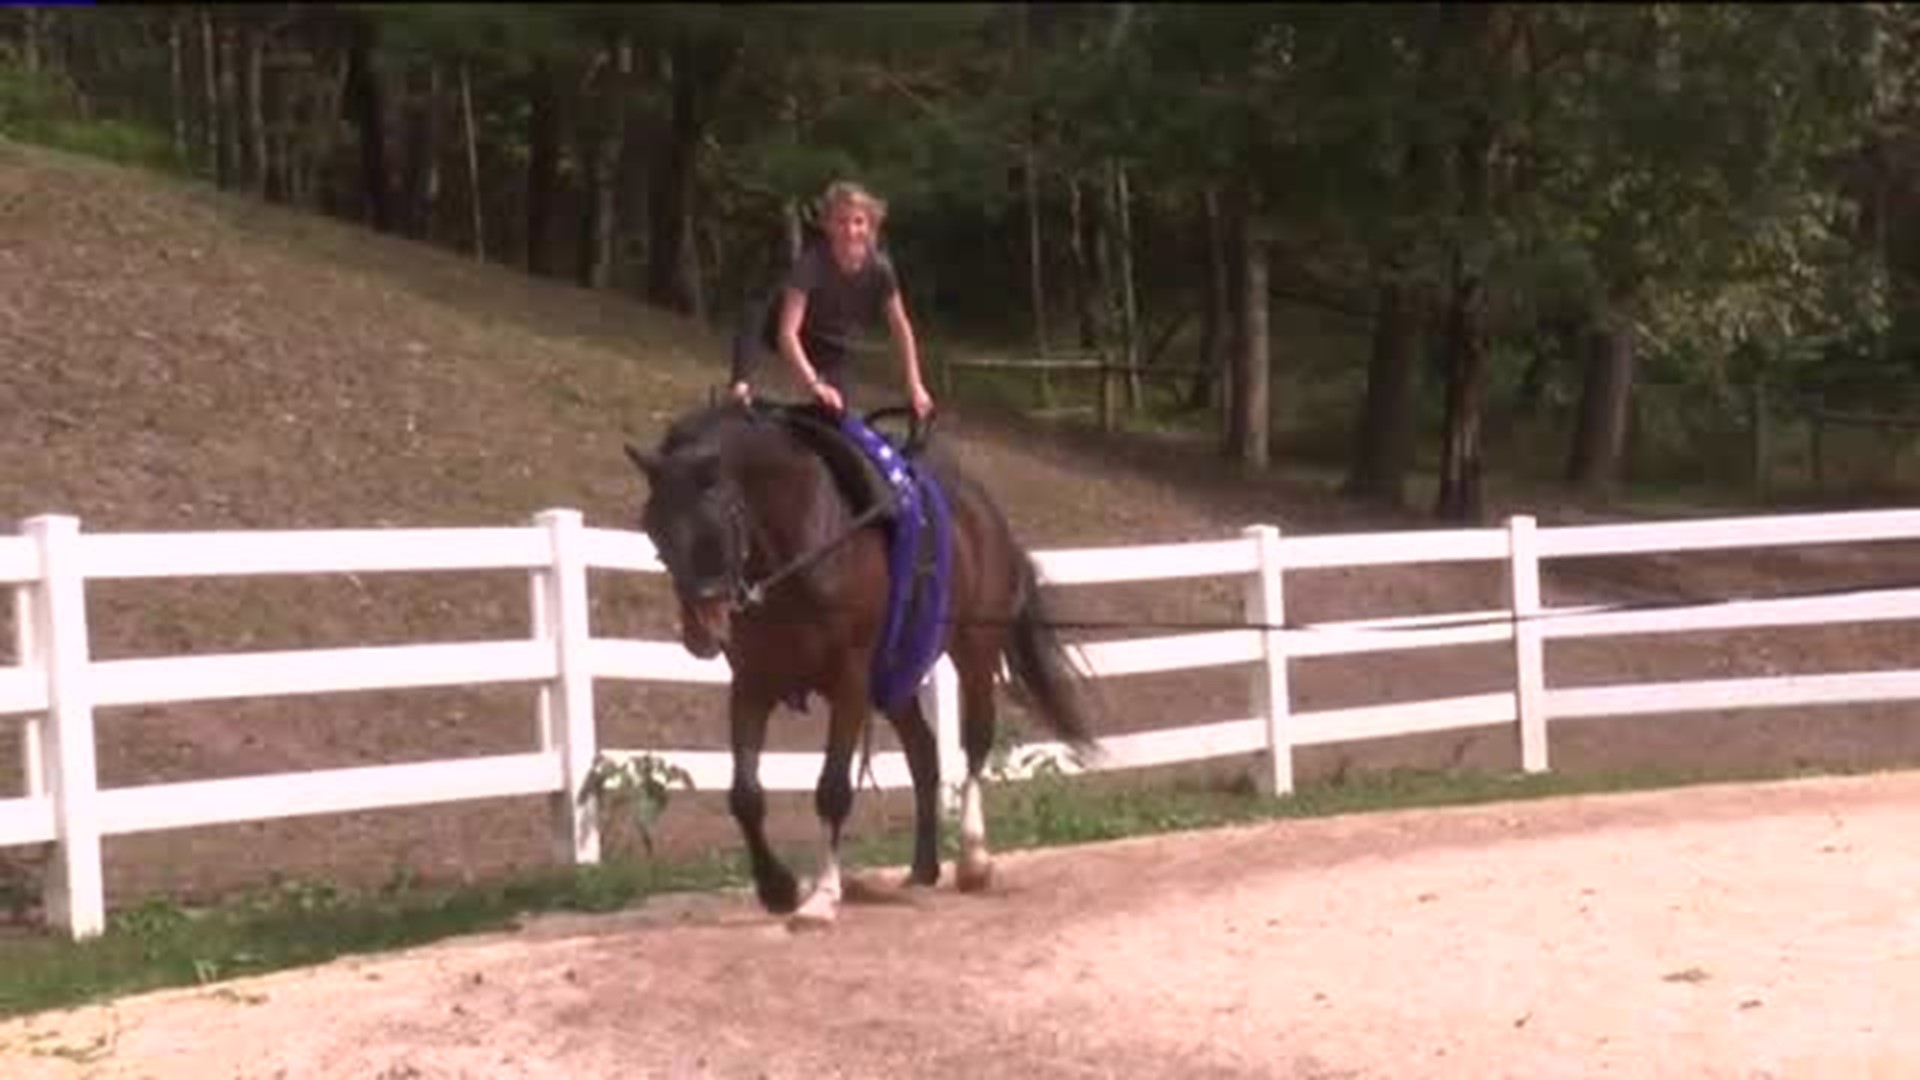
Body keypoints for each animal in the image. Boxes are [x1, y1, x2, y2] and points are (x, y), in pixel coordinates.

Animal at [618, 399, 1090, 922]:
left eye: (715, 520)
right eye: (652, 527)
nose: (702, 631)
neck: (802, 550)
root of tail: (987, 514)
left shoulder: (849, 682)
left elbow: (832, 790)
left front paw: (822, 896)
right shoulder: (752, 684)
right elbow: (745, 795)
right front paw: (777, 887)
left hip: (973, 653)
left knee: (975, 742)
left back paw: (973, 860)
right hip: (898, 673)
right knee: (924, 754)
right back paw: (923, 868)